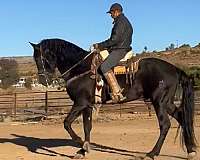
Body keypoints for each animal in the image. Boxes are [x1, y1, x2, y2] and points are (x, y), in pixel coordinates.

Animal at [30, 38, 198, 159]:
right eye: (34, 58)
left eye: (42, 58)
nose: (43, 81)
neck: (80, 68)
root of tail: (174, 69)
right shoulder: (88, 105)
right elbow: (87, 127)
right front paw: (83, 150)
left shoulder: (80, 103)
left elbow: (67, 123)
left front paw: (80, 143)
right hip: (167, 102)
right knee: (182, 117)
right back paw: (191, 151)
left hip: (159, 102)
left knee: (165, 125)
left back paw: (152, 153)